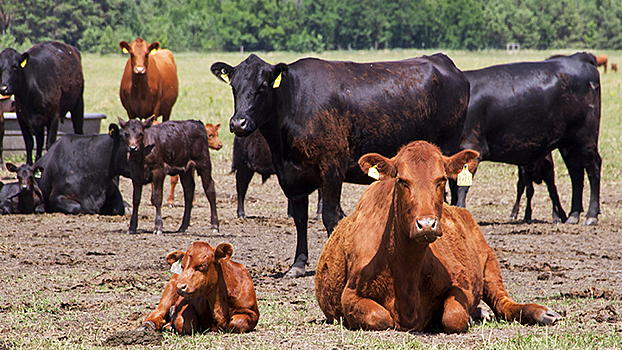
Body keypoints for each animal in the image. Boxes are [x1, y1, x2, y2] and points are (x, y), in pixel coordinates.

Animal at [212, 53, 470, 278]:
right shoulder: (294, 179)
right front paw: (298, 264)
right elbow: (300, 219)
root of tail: (442, 61)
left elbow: (330, 217)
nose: (239, 123)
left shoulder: (331, 170)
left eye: (263, 86)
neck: (295, 102)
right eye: (234, 87)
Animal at [314, 141, 564, 332]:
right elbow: (380, 316)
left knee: (503, 303)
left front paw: (466, 316)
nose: (426, 225)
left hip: (489, 261)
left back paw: (541, 313)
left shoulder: (462, 282)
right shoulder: (350, 295)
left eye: (442, 179)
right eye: (401, 180)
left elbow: (453, 316)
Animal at [456, 53, 604, 226]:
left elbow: (461, 186)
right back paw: (573, 215)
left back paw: (591, 215)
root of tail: (578, 57)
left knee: (593, 168)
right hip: (569, 144)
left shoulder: (471, 147)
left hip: (586, 137)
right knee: (576, 173)